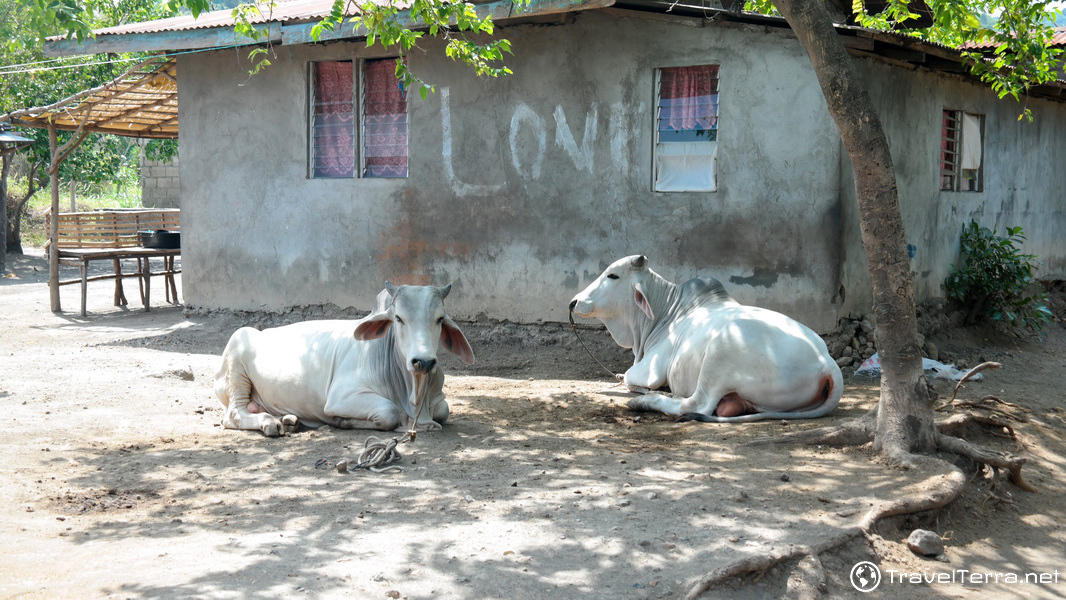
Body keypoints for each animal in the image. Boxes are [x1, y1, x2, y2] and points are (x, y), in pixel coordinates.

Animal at [214, 281, 473, 436]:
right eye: (399, 318)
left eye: (439, 319)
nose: (424, 362)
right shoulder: (341, 397)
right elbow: (388, 413)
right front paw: (342, 421)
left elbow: (444, 410)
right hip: (237, 354)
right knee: (233, 414)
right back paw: (269, 423)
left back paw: (289, 420)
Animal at [567, 256, 840, 422]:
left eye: (613, 275)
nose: (574, 302)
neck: (667, 312)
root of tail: (828, 364)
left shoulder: (651, 369)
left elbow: (628, 377)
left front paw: (641, 388)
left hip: (719, 356)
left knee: (696, 405)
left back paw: (646, 401)